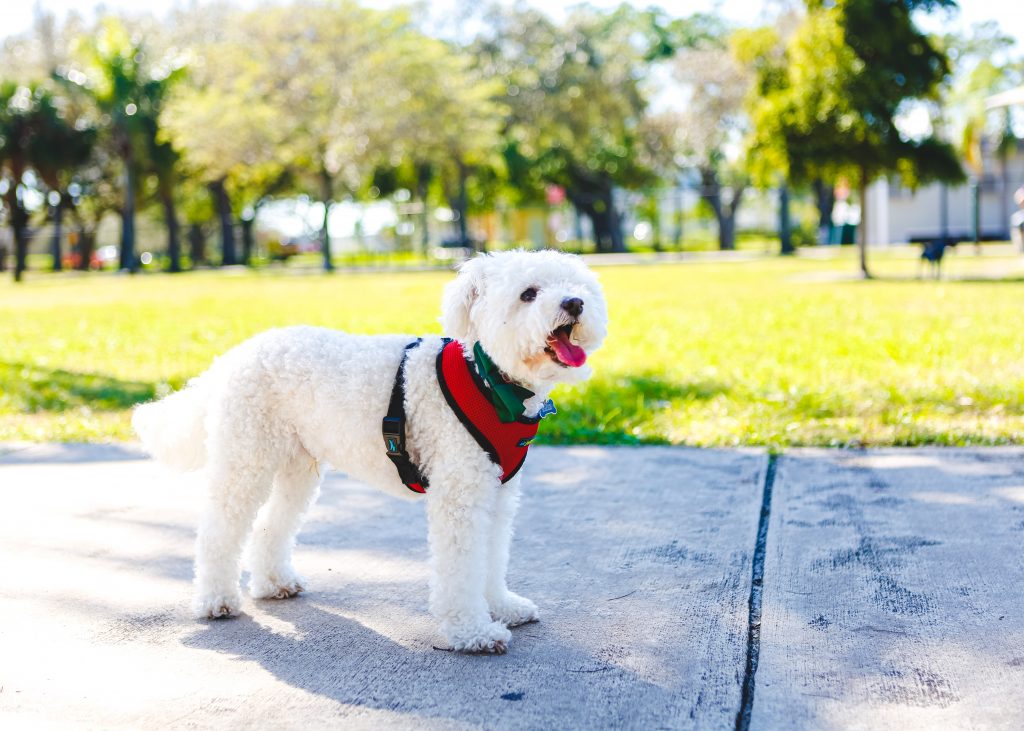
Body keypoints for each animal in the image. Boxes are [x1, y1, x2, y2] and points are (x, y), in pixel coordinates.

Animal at [132, 247, 602, 651]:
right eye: (528, 293)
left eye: (574, 285)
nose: (575, 303)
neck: (490, 382)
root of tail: (233, 356)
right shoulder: (460, 497)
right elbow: (462, 566)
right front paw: (472, 631)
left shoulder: (496, 496)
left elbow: (492, 556)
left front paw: (502, 607)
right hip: (246, 458)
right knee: (219, 530)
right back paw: (216, 600)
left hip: (296, 468)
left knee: (271, 525)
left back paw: (273, 583)